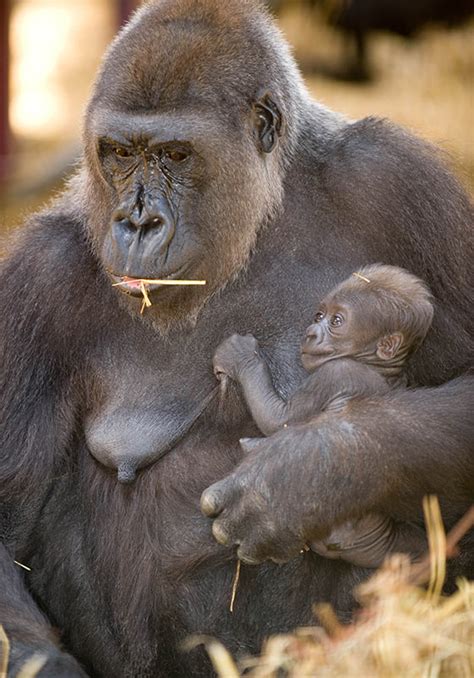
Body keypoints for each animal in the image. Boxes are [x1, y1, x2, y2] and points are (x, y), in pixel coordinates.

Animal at [213, 266, 436, 568]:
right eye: (319, 316)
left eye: (337, 321)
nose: (310, 333)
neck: (377, 365)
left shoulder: (334, 373)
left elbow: (279, 419)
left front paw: (242, 357)